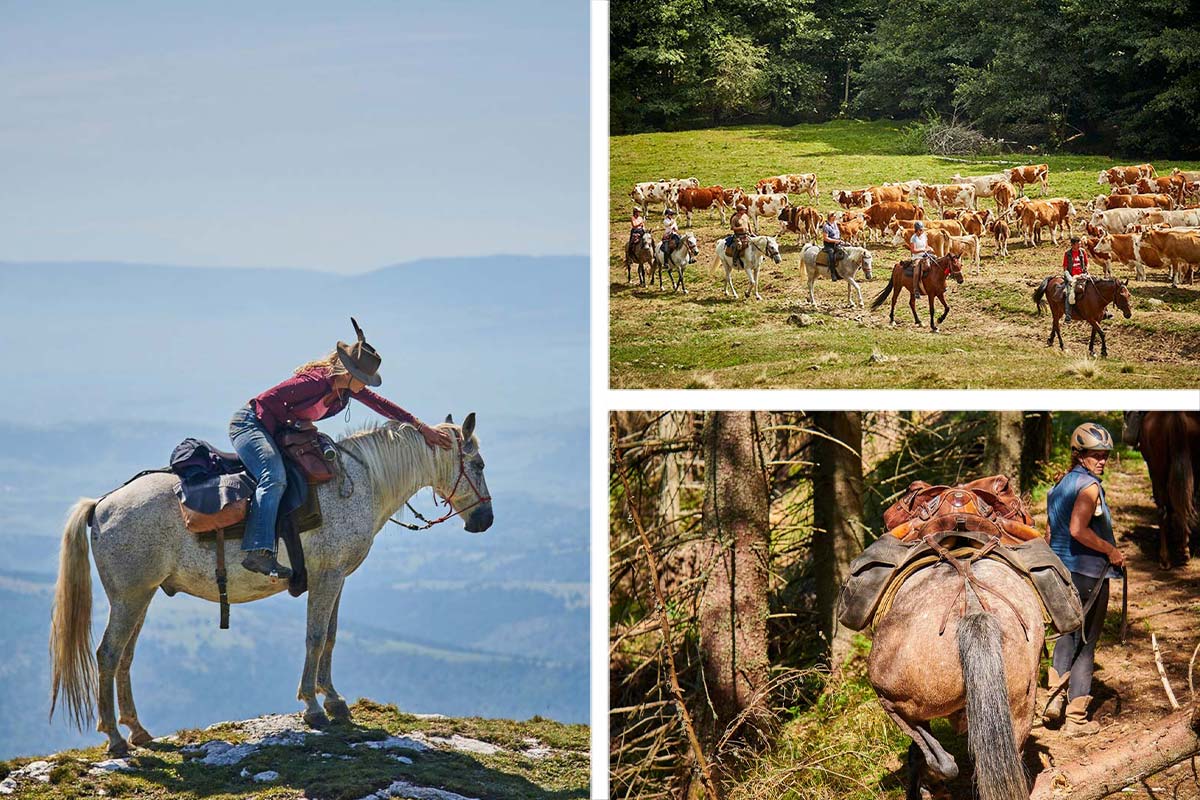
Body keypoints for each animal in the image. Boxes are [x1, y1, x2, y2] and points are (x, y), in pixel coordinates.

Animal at [50, 412, 492, 758]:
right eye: (479, 464)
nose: (484, 520)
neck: (360, 480)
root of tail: (102, 505)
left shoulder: (336, 578)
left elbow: (330, 637)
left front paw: (335, 701)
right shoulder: (327, 577)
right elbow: (315, 637)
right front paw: (313, 707)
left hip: (140, 597)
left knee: (125, 656)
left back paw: (138, 732)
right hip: (129, 597)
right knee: (108, 654)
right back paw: (115, 739)